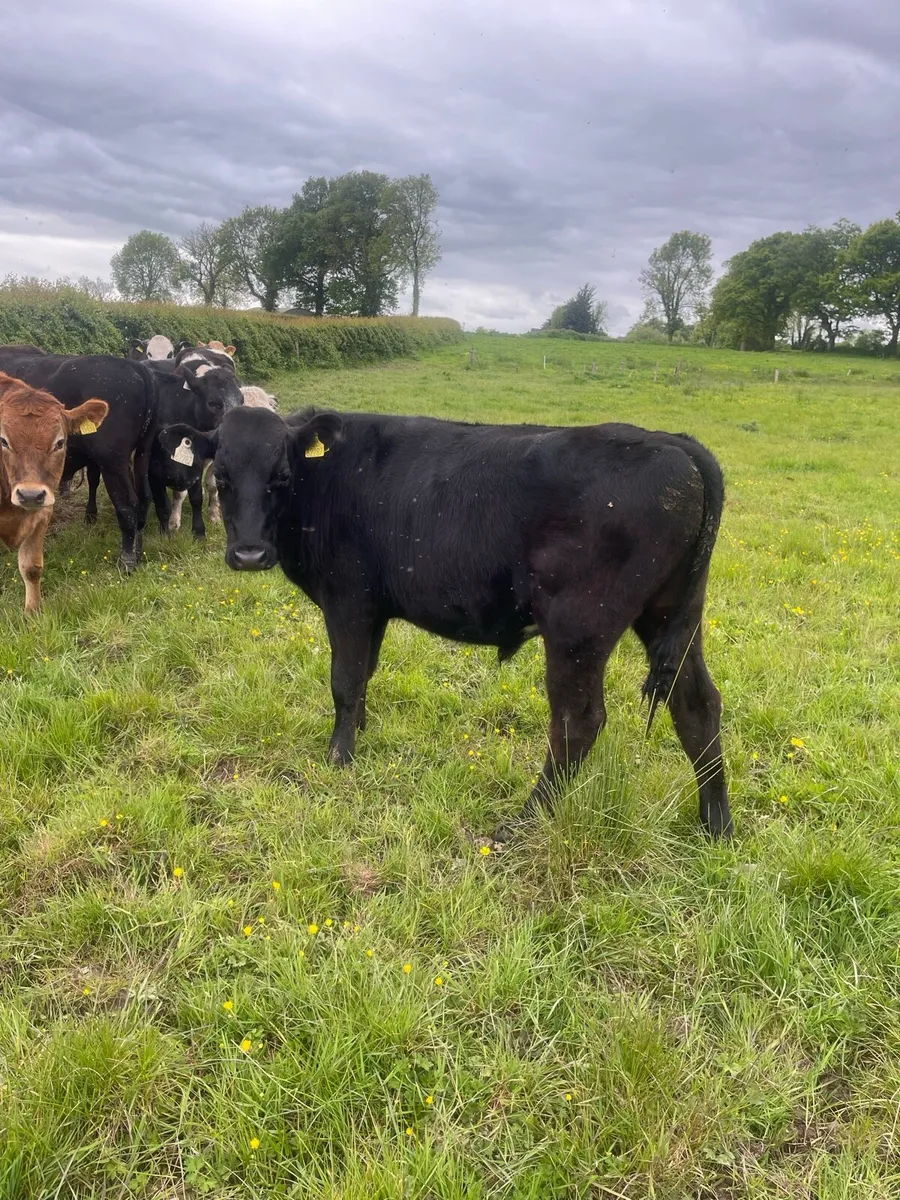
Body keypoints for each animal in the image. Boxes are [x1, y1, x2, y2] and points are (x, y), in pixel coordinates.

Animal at [0, 349, 158, 571]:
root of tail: (137, 367)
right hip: (142, 453)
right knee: (144, 497)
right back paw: (137, 553)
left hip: (112, 461)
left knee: (127, 504)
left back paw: (126, 561)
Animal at [0, 371, 108, 612]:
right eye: (2, 440)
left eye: (59, 443)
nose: (30, 495)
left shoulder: (42, 512)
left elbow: (31, 567)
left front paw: (33, 612)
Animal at [211, 406, 732, 841]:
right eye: (219, 476)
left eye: (281, 476)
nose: (249, 553)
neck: (324, 482)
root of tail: (671, 442)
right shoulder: (373, 608)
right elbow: (363, 676)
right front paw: (358, 729)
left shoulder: (348, 599)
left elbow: (344, 679)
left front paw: (339, 757)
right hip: (671, 617)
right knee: (697, 704)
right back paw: (717, 825)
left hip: (579, 627)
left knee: (578, 722)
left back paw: (523, 822)